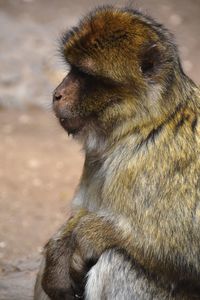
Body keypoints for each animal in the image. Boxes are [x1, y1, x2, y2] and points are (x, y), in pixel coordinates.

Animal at [33, 4, 199, 300]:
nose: (57, 94)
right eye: (71, 69)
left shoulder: (148, 162)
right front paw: (60, 251)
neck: (143, 124)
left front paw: (85, 236)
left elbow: (185, 250)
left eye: (84, 75)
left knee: (116, 261)